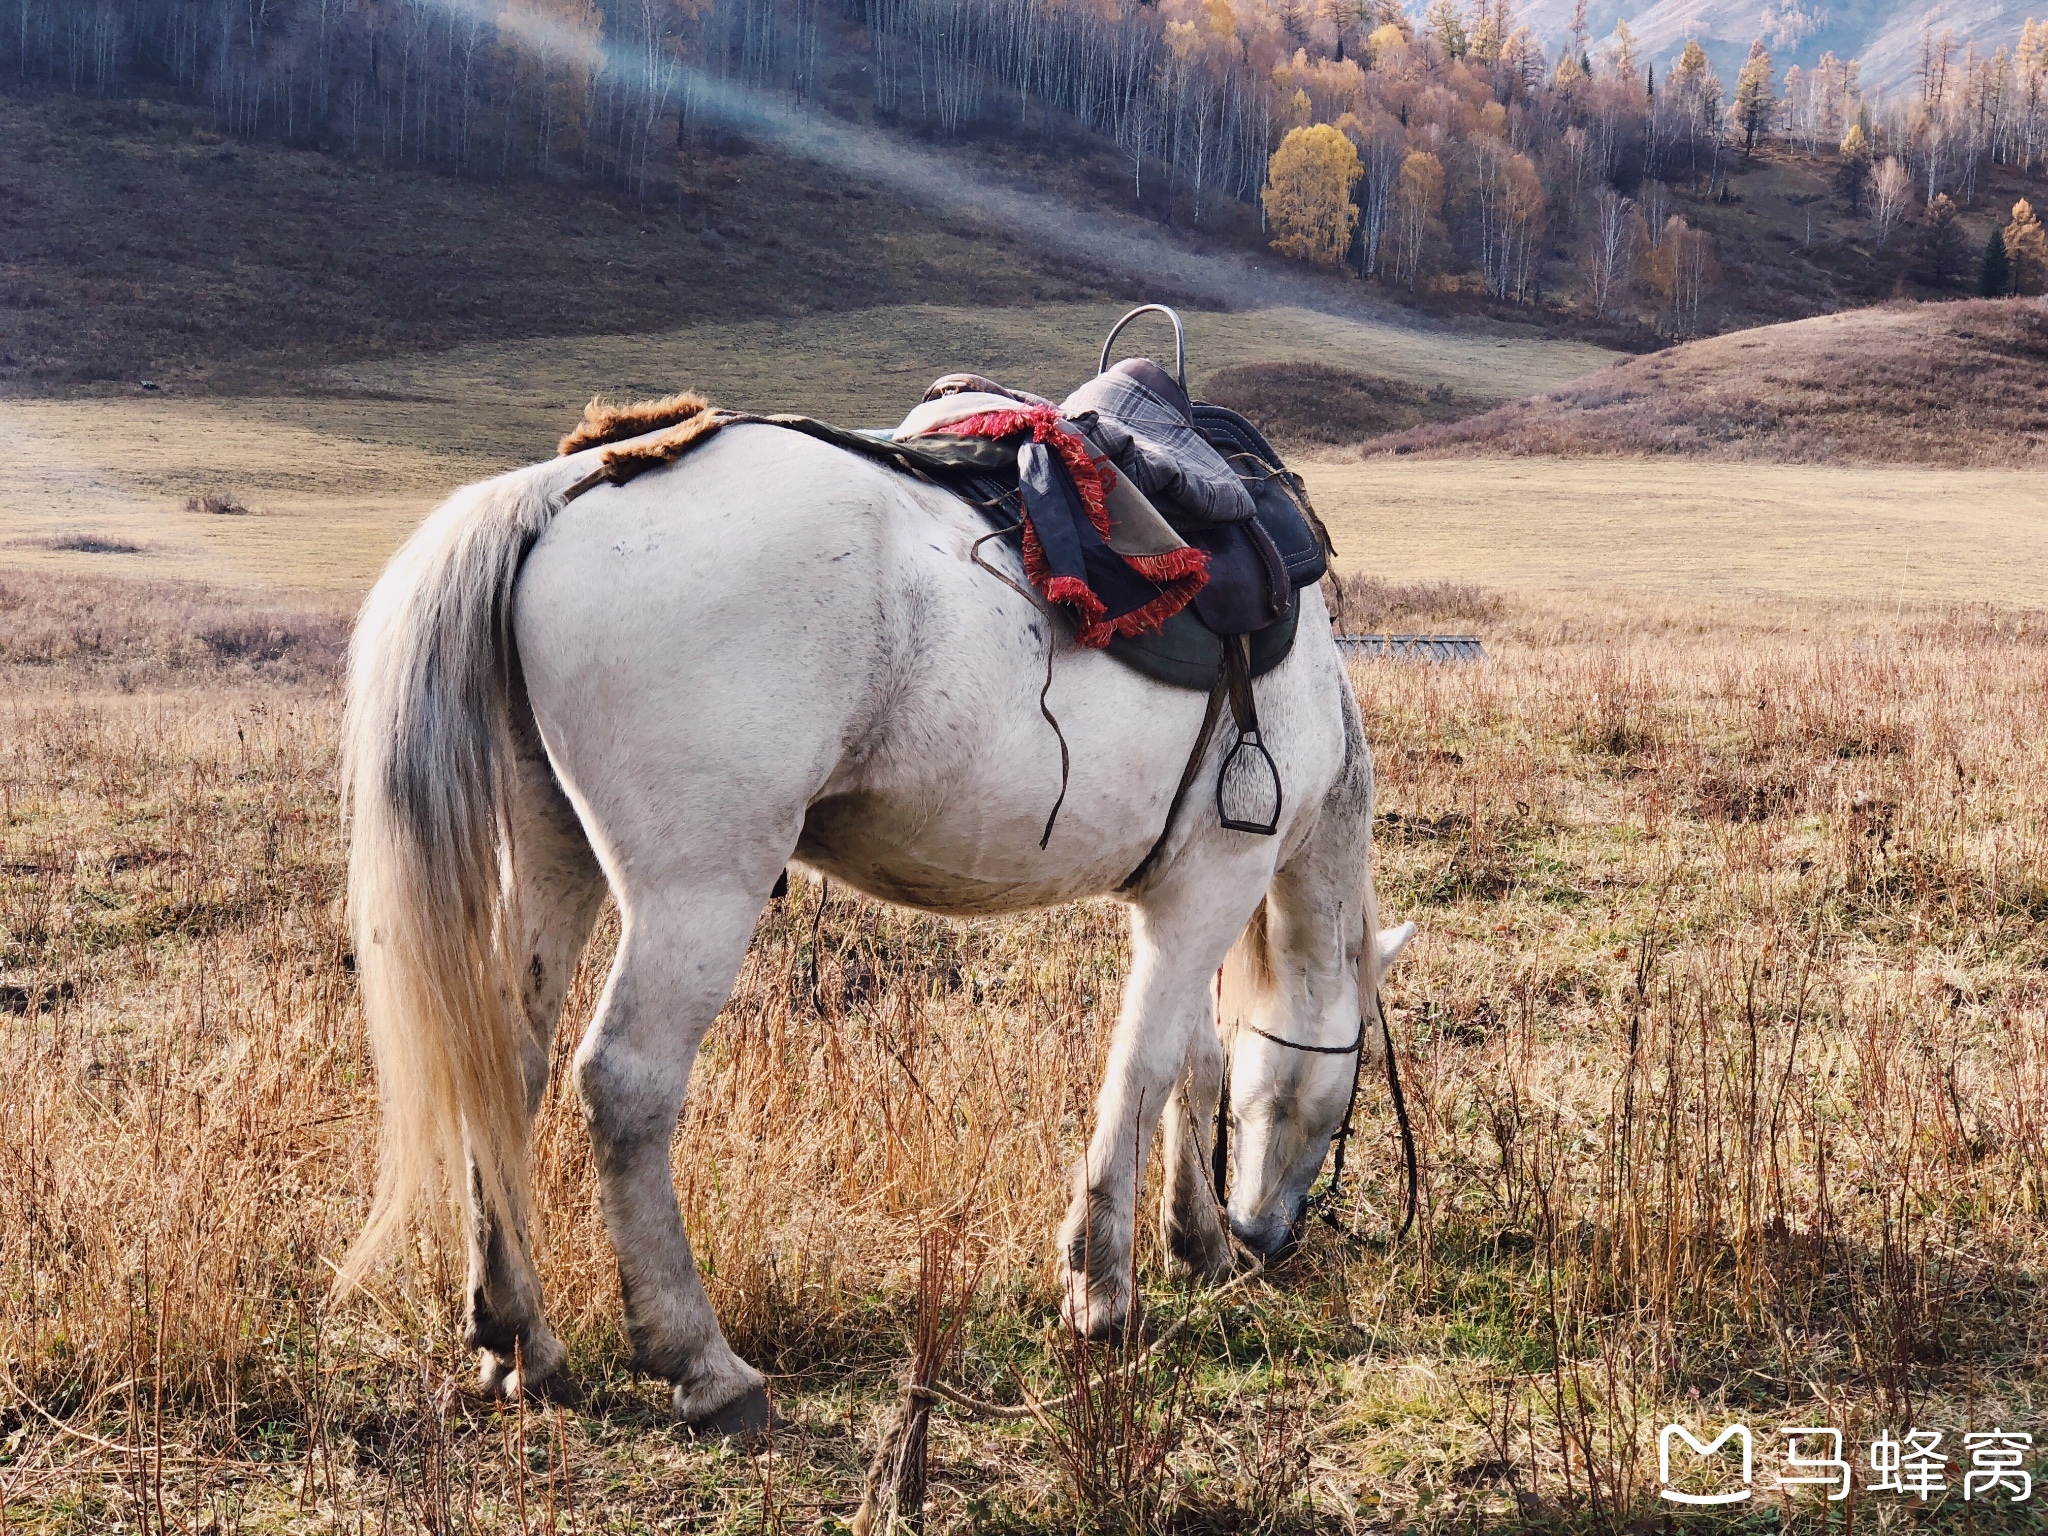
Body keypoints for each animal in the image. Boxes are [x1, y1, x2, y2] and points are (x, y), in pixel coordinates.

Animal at [344, 417, 1417, 1433]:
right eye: (1352, 1086)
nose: (1265, 1238)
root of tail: (561, 489)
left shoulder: (1179, 896)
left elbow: (1192, 1069)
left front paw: (1191, 1244)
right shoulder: (1214, 884)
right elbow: (1145, 1071)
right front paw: (1104, 1287)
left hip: (553, 853)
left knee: (508, 1068)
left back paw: (519, 1336)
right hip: (698, 891)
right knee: (625, 1085)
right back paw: (703, 1364)